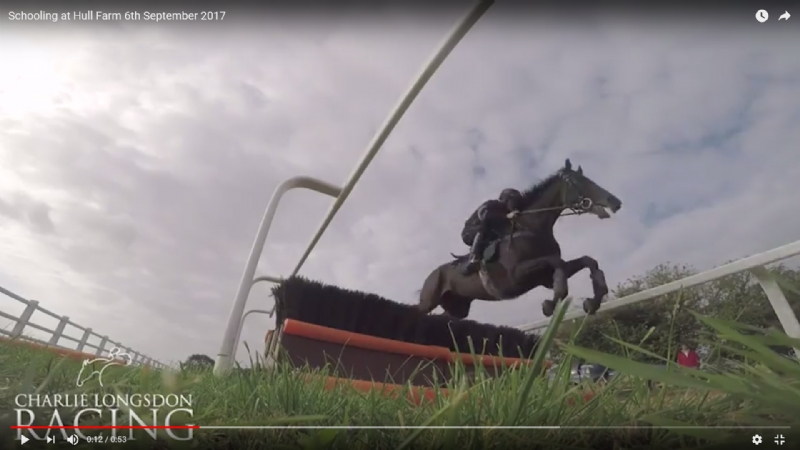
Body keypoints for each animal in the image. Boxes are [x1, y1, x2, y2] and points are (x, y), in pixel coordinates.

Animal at [418, 158, 624, 320]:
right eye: (578, 181)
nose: (616, 202)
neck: (533, 229)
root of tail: (431, 275)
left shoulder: (544, 277)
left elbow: (588, 261)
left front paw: (594, 300)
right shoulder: (515, 276)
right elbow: (555, 262)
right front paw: (551, 302)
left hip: (458, 307)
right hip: (429, 300)